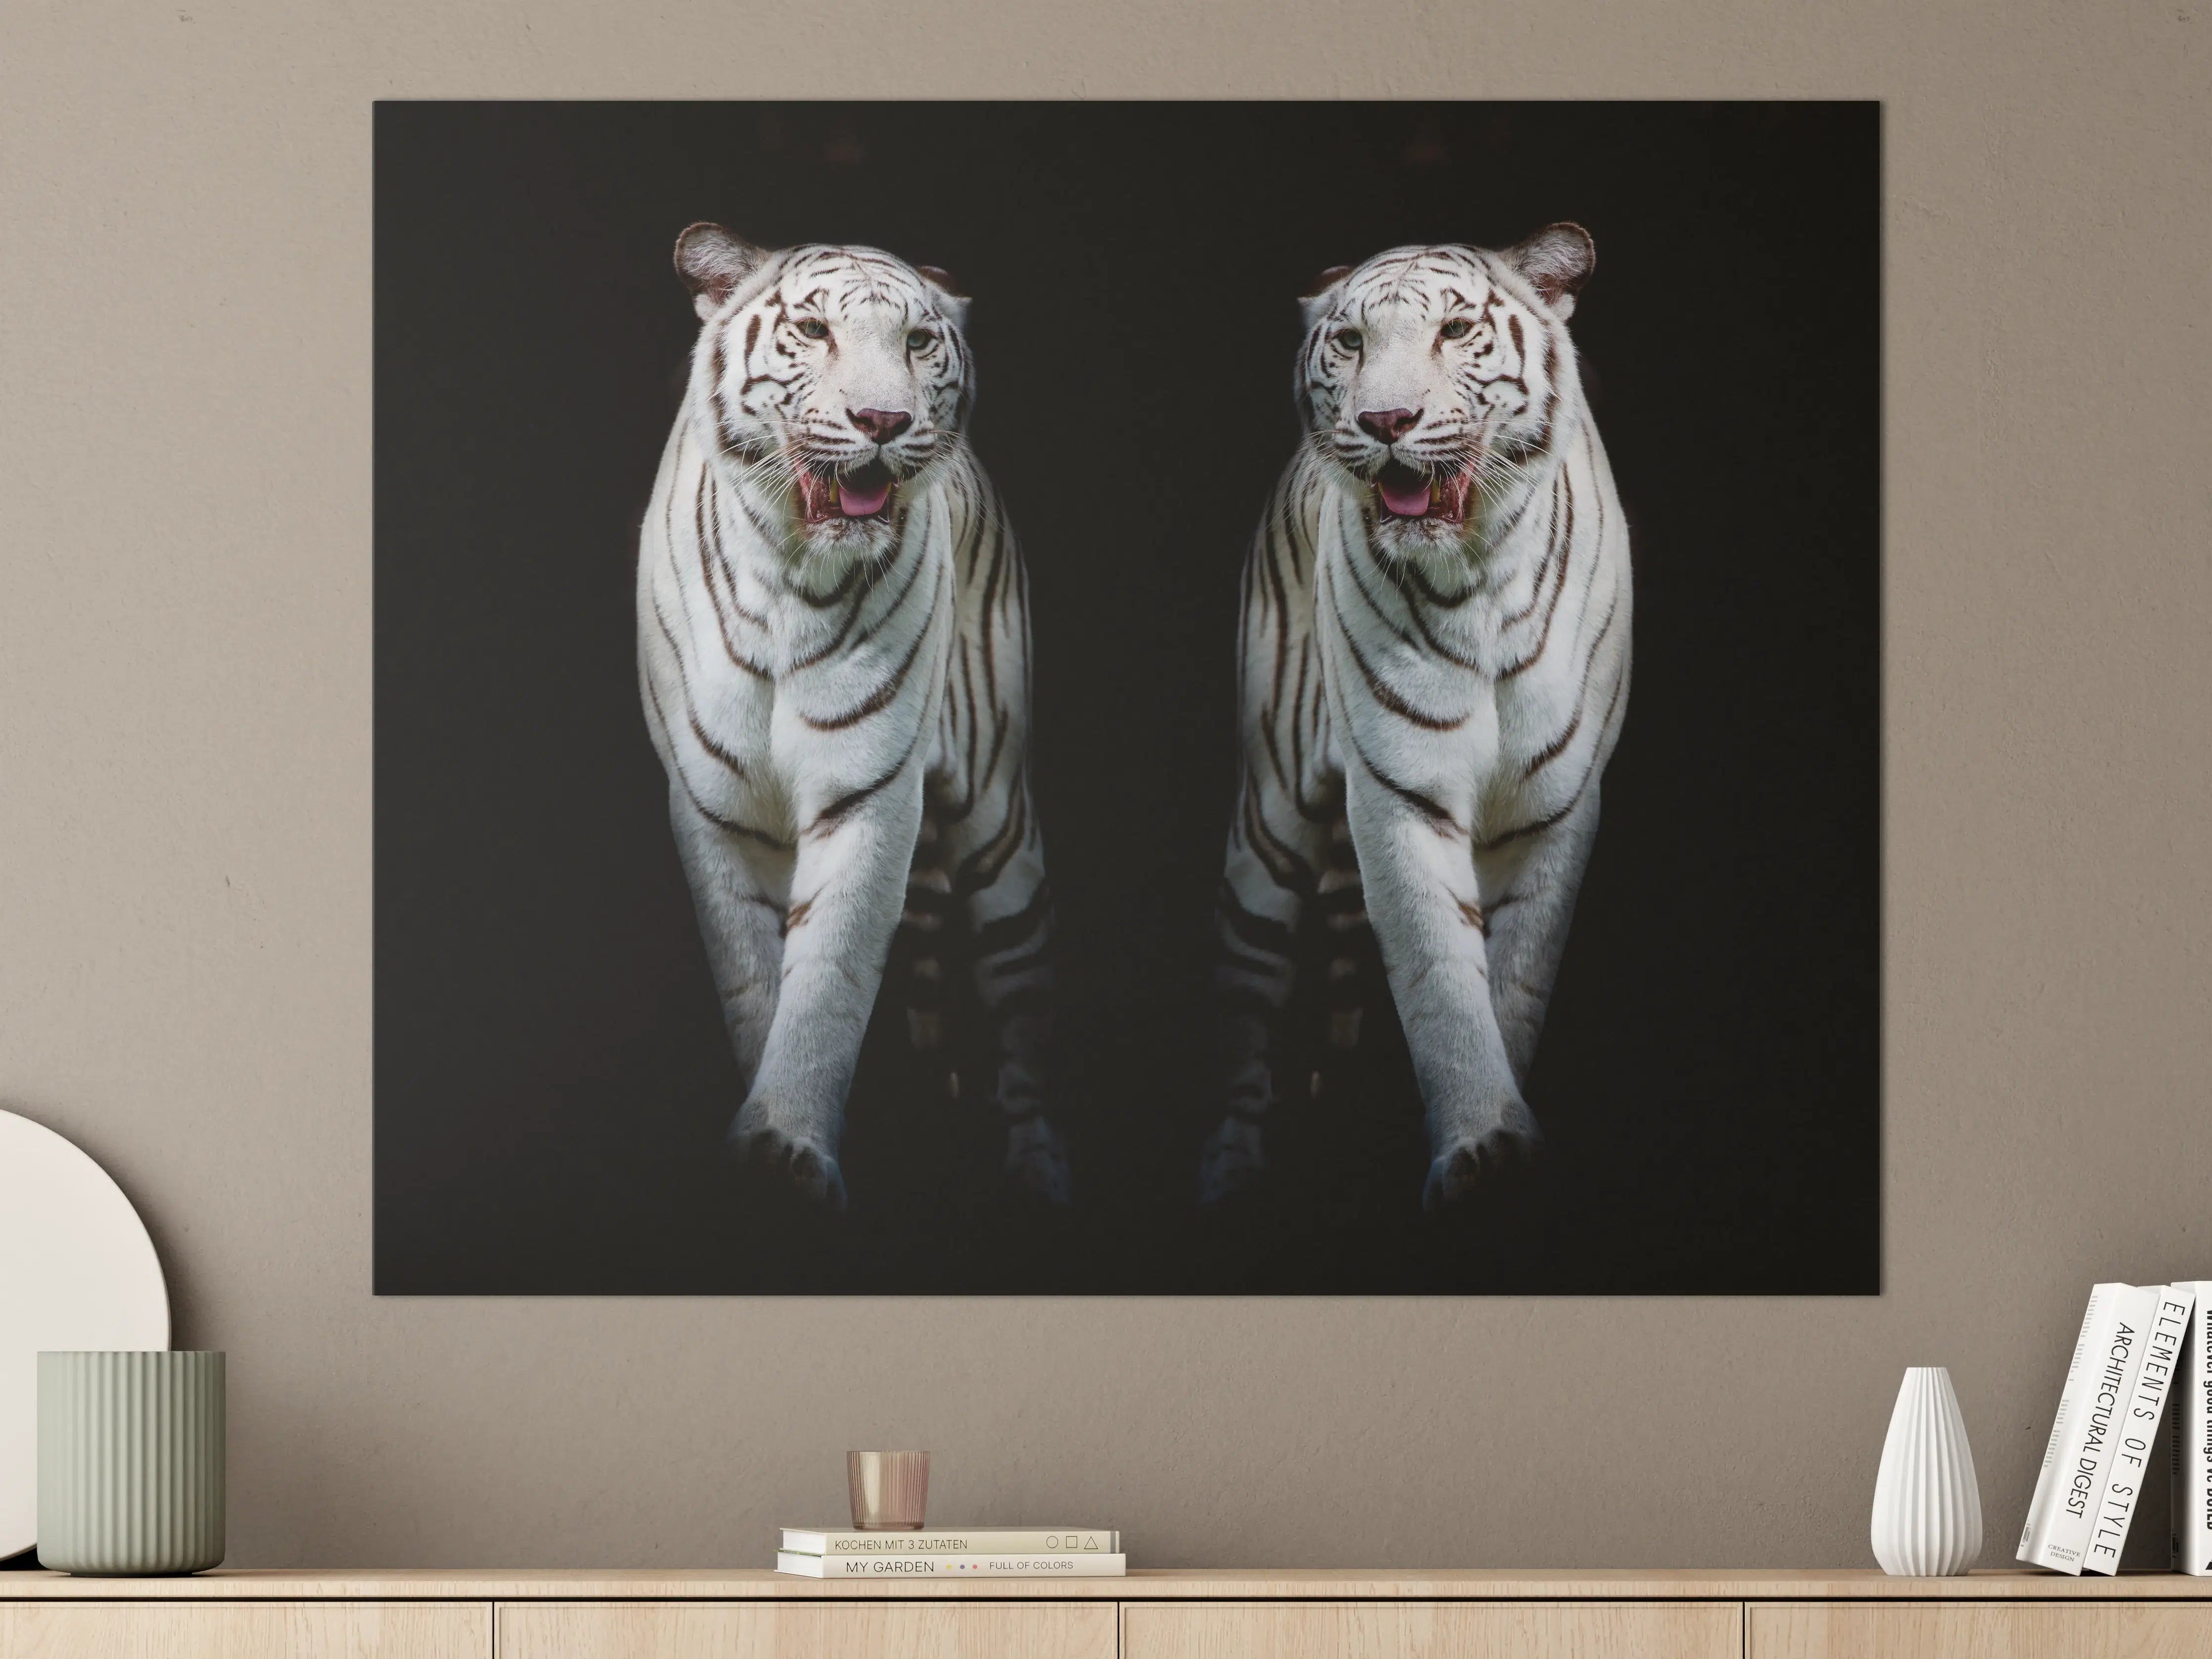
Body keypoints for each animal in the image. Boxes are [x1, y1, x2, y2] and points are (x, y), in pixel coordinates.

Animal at [637, 223, 1066, 1211]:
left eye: (917, 342)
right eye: (812, 330)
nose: (882, 421)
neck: (790, 574)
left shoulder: (868, 791)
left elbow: (829, 976)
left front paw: (790, 1143)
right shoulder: (714, 805)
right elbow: (756, 980)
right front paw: (766, 1145)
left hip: (1000, 826)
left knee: (1023, 1009)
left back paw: (1039, 1169)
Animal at [1200, 225, 1632, 1213]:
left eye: (1457, 330)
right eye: (1351, 342)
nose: (1386, 421)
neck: (1479, 575)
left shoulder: (1554, 805)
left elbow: (1513, 978)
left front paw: (1501, 1141)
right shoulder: (1401, 791)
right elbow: (1440, 976)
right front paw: (1479, 1142)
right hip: (1270, 821)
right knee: (1244, 1004)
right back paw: (1232, 1172)